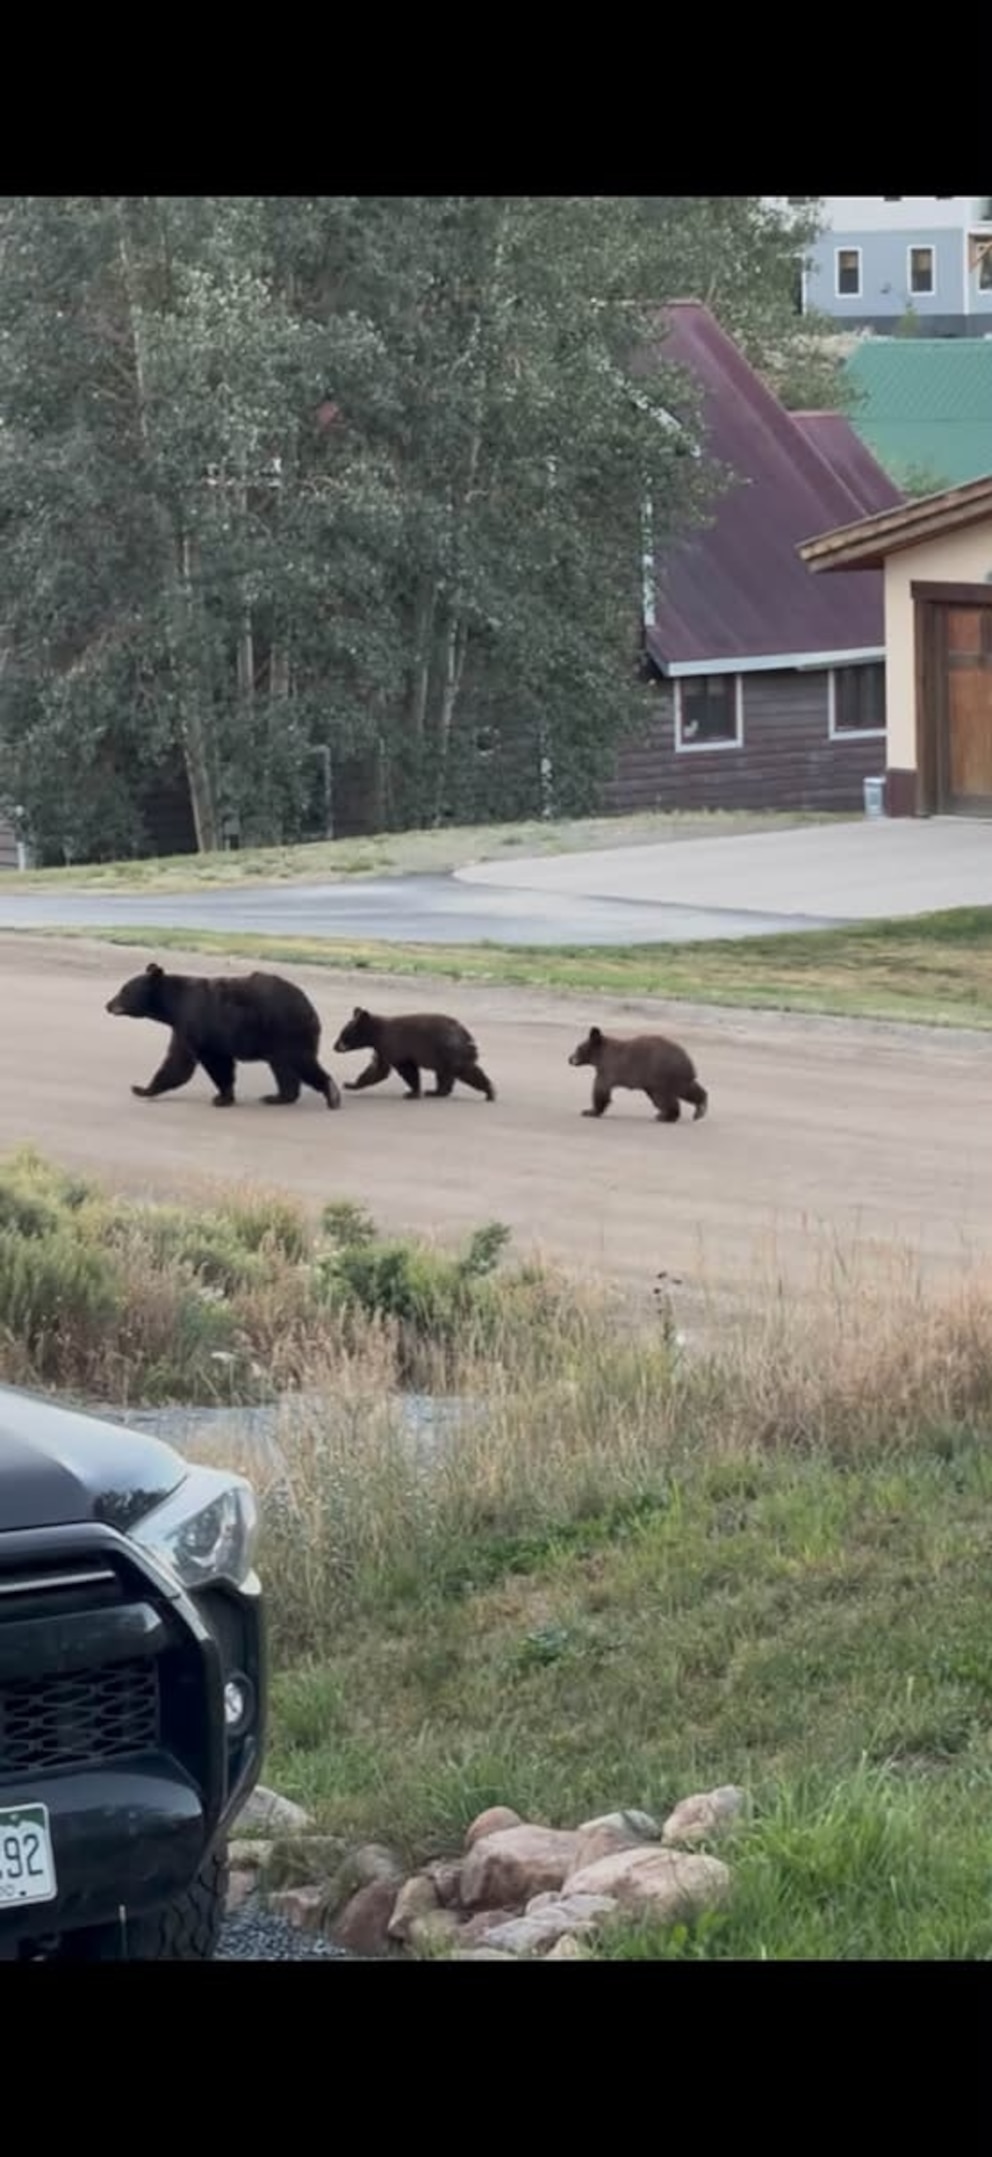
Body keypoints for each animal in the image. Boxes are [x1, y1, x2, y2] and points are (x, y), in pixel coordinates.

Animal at [105, 961, 342, 1110]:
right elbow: (182, 1062)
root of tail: (309, 1006)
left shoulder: (198, 1023)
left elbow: (205, 1062)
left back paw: (331, 1094)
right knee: (283, 1068)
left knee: (301, 1061)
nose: (108, 1005)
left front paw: (222, 1097)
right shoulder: (185, 1029)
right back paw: (278, 1097)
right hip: (278, 1040)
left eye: (124, 991)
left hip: (286, 1031)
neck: (174, 1006)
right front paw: (143, 1089)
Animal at [332, 1007, 496, 1101]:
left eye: (343, 1035)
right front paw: (351, 1084)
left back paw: (490, 1091)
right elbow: (377, 1070)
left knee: (466, 1071)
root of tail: (467, 1035)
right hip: (443, 1056)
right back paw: (436, 1092)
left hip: (450, 1051)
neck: (376, 1034)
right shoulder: (382, 1050)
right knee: (444, 1074)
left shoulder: (394, 1045)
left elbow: (406, 1069)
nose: (334, 1047)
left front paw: (412, 1093)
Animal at [568, 1024, 708, 1124]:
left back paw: (666, 1116)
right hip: (675, 1078)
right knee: (688, 1089)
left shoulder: (608, 1069)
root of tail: (688, 1061)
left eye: (578, 1048)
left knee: (665, 1098)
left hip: (661, 1077)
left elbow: (601, 1089)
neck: (601, 1055)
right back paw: (699, 1109)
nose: (569, 1059)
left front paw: (590, 1111)